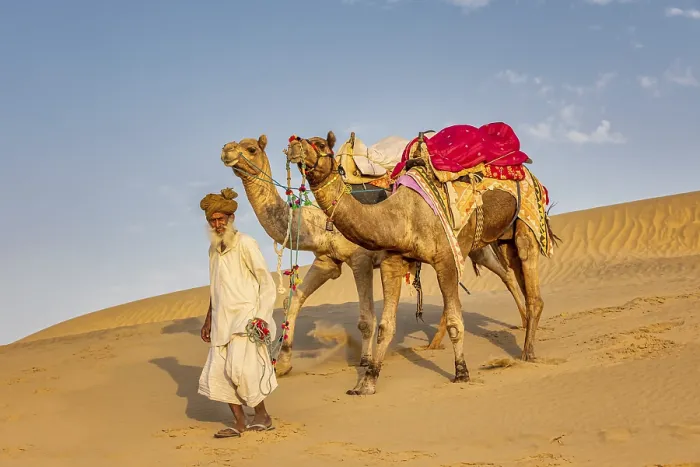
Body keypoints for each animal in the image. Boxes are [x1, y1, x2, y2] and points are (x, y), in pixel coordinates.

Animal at [219, 135, 528, 377]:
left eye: (250, 148)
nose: (226, 149)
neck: (314, 222)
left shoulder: (361, 260)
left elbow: (366, 317)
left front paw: (365, 360)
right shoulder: (326, 261)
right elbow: (293, 302)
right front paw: (283, 365)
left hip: (473, 243)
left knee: (505, 273)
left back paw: (524, 323)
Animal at [285, 131, 558, 395]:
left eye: (320, 144)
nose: (293, 145)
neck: (403, 215)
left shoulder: (445, 258)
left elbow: (455, 322)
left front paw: (461, 373)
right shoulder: (392, 262)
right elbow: (385, 326)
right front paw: (367, 382)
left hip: (527, 226)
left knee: (530, 283)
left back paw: (527, 352)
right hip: (504, 238)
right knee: (517, 274)